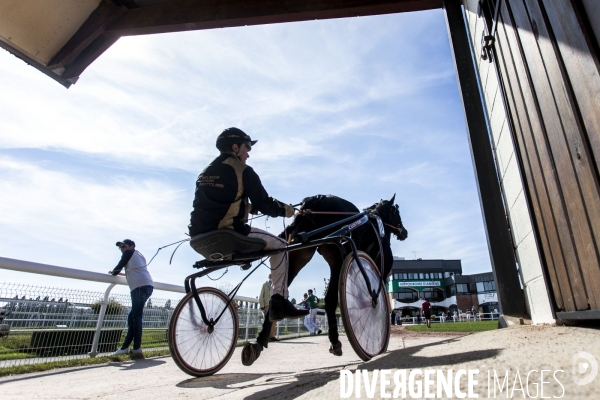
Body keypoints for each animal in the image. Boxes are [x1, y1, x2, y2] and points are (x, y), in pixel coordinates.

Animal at [248, 193, 408, 360]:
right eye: (397, 212)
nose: (404, 231)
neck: (375, 224)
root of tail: (316, 199)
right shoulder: (378, 271)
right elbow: (379, 299)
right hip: (337, 258)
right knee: (330, 300)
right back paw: (335, 341)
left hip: (298, 255)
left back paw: (259, 341)